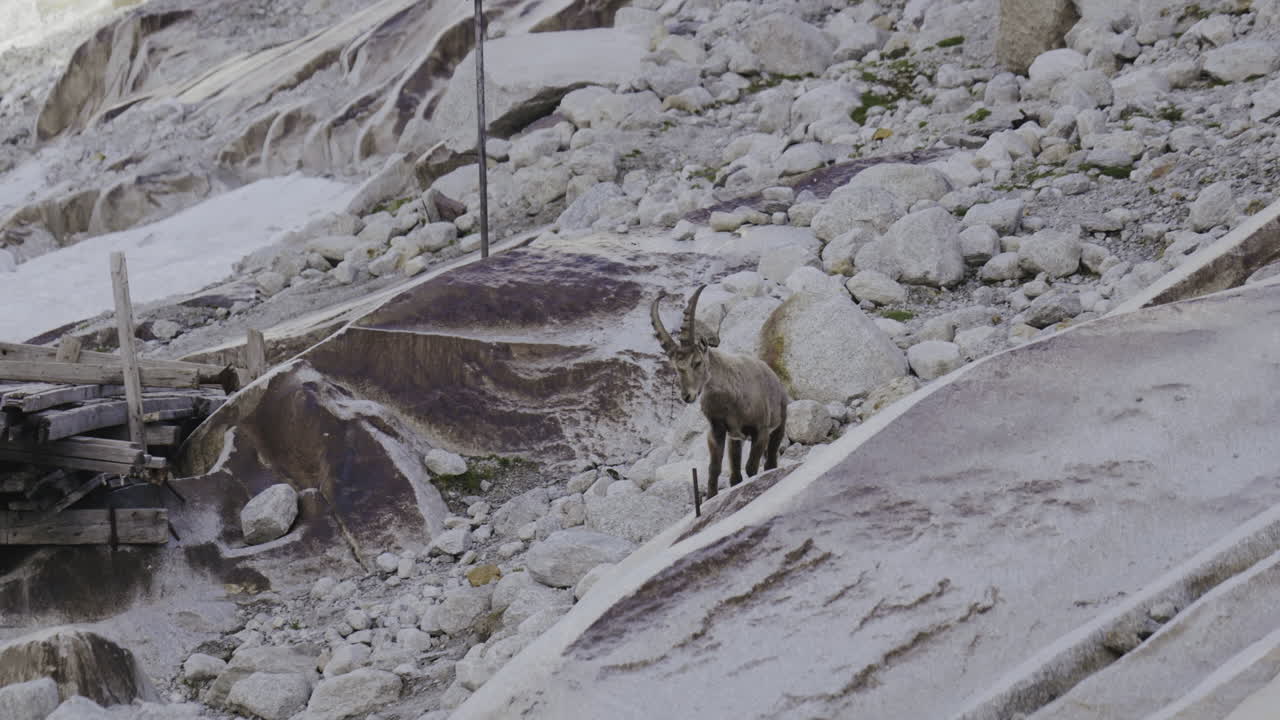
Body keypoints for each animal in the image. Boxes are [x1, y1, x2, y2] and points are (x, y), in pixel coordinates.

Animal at [651, 285, 790, 498]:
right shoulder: (717, 431)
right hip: (736, 440)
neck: (729, 400)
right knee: (735, 474)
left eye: (697, 362)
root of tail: (775, 377)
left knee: (770, 461)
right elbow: (714, 468)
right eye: (676, 367)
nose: (687, 396)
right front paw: (711, 496)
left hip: (778, 425)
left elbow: (751, 467)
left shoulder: (761, 431)